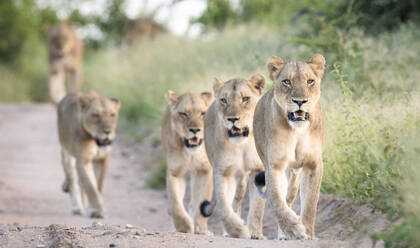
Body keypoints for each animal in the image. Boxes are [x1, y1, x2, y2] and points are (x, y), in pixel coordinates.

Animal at [162, 90, 213, 233]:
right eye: (184, 114)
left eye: (203, 113)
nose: (195, 130)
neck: (190, 152)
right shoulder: (175, 172)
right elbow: (175, 202)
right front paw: (183, 226)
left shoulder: (204, 170)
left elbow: (201, 200)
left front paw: (200, 228)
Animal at [253, 54, 328, 240]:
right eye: (287, 82)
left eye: (310, 81)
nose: (300, 101)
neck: (298, 131)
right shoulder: (274, 165)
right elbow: (277, 200)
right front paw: (294, 229)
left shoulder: (313, 164)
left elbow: (310, 203)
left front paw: (308, 233)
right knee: (282, 199)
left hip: (294, 176)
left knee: (290, 197)